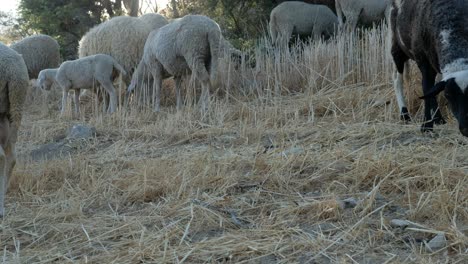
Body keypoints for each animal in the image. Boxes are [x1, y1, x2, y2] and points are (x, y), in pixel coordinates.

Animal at [392, 0, 468, 136]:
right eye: (448, 95)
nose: (466, 130)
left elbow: (432, 90)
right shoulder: (424, 62)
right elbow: (427, 88)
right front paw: (426, 126)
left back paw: (438, 118)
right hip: (397, 45)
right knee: (397, 78)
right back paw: (405, 115)